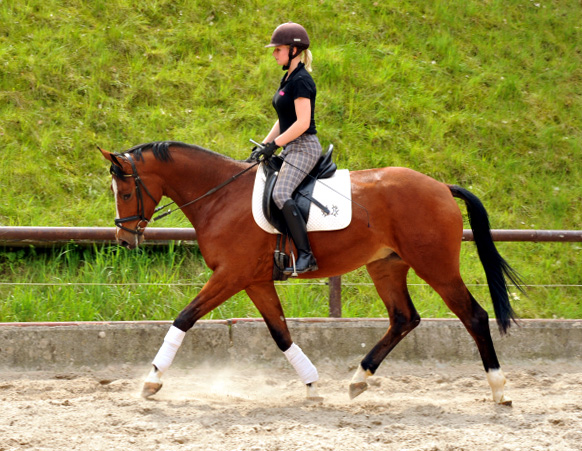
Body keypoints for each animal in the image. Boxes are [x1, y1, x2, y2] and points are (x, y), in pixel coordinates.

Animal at [100, 141, 524, 406]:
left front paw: (152, 380)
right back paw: (358, 379)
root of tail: (440, 186)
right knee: (404, 318)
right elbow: (281, 333)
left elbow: (184, 318)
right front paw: (312, 385)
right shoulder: (254, 280)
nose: (124, 239)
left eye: (126, 192)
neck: (220, 197)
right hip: (386, 266)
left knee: (474, 316)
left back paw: (499, 390)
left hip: (435, 266)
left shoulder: (231, 275)